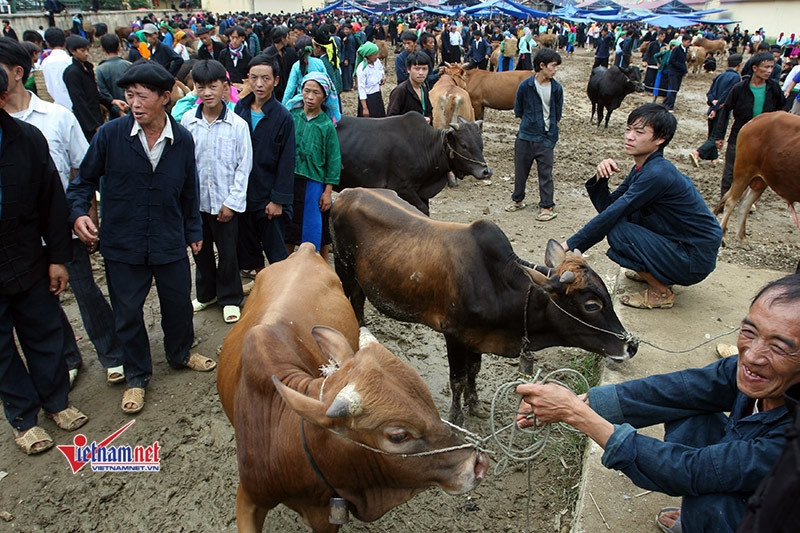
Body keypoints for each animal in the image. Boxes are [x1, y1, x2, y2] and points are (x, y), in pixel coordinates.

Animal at [216, 242, 488, 532]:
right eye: (398, 436)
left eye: (428, 401)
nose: (476, 464)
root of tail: (305, 248)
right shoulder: (249, 498)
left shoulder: (324, 516)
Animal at [332, 187, 636, 424]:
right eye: (592, 305)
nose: (631, 346)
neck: (498, 286)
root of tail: (347, 193)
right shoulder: (453, 335)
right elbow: (457, 378)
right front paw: (456, 417)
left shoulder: (476, 338)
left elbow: (473, 372)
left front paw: (475, 404)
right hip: (344, 268)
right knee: (350, 302)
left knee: (358, 303)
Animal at [334, 111, 490, 215]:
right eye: (464, 145)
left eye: (481, 143)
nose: (486, 171)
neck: (426, 145)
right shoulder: (402, 188)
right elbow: (422, 210)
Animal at [712, 113, 800, 244]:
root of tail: (756, 120)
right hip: (744, 171)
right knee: (731, 201)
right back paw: (723, 234)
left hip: (760, 181)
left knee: (745, 203)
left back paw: (742, 237)